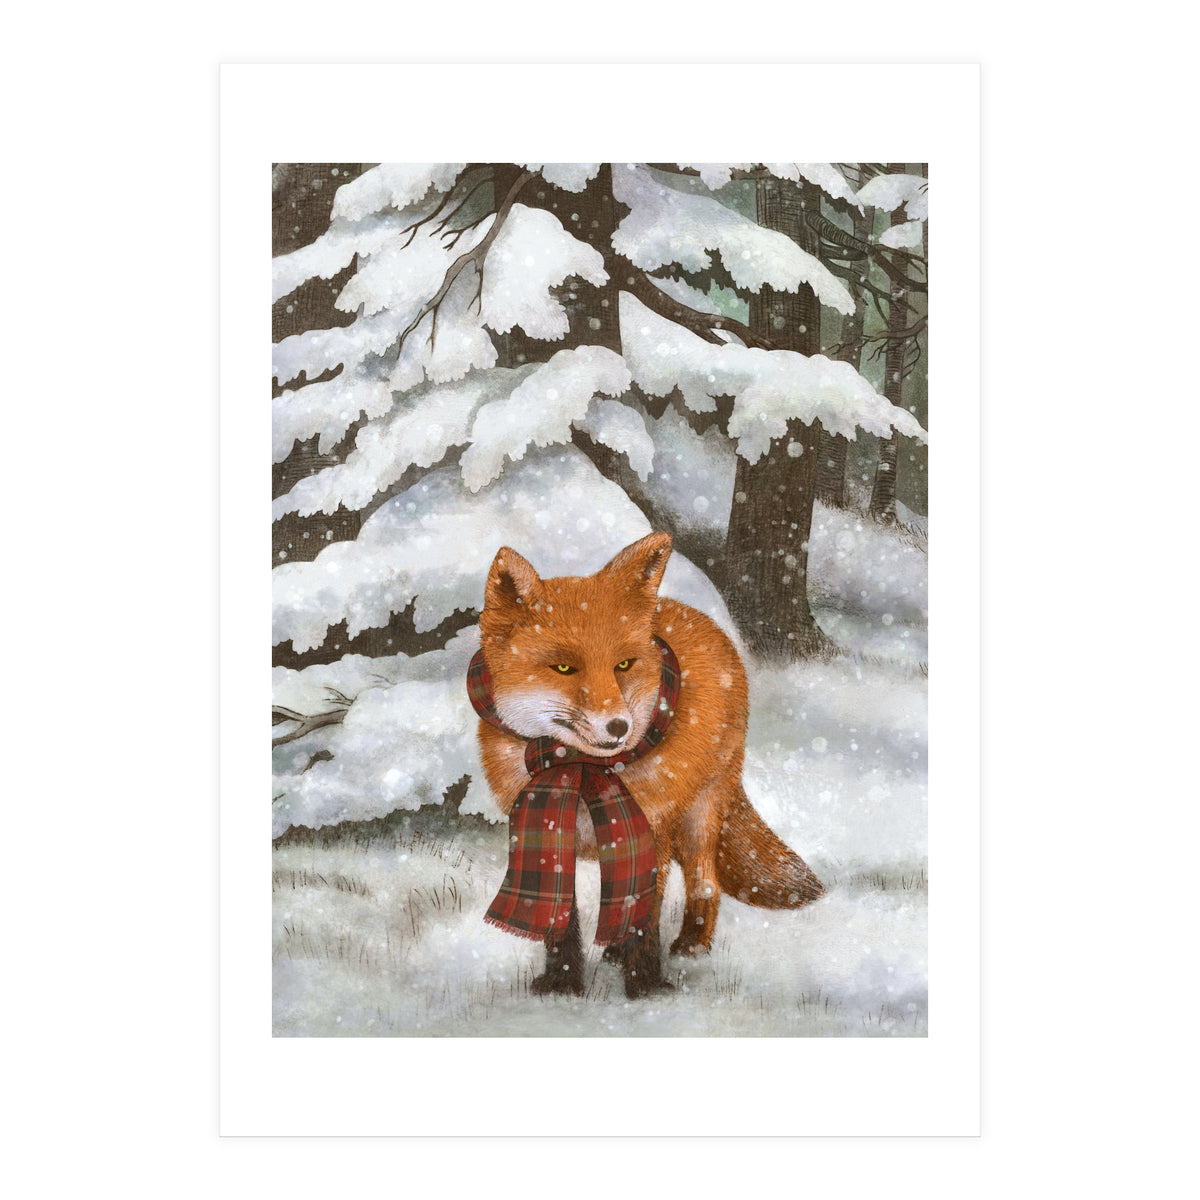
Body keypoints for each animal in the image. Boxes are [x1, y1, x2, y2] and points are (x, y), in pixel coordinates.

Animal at [473, 531, 824, 999]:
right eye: (564, 668)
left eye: (623, 665)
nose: (619, 727)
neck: (580, 769)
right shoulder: (550, 829)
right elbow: (561, 918)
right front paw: (561, 985)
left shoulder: (649, 829)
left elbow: (644, 916)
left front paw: (645, 988)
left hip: (699, 816)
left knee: (704, 883)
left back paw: (691, 944)